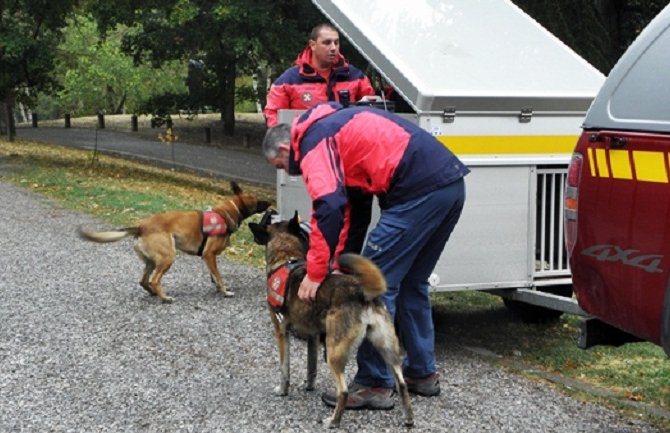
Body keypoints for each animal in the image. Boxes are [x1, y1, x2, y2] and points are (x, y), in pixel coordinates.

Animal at [82, 181, 272, 302]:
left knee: (144, 281)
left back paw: (154, 293)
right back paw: (165, 298)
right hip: (168, 257)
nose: (270, 201)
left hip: (152, 261)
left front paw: (219, 289)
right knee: (154, 280)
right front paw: (225, 292)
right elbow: (219, 276)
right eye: (257, 199)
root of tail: (141, 227)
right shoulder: (209, 255)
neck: (225, 213)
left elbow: (214, 276)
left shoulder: (208, 258)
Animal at [249, 211, 412, 426]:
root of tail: (360, 292)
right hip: (386, 348)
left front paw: (283, 391)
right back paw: (409, 419)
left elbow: (285, 369)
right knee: (401, 384)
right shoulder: (312, 336)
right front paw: (309, 386)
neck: (286, 256)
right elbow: (311, 367)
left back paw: (333, 420)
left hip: (334, 351)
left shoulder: (281, 332)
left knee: (343, 390)